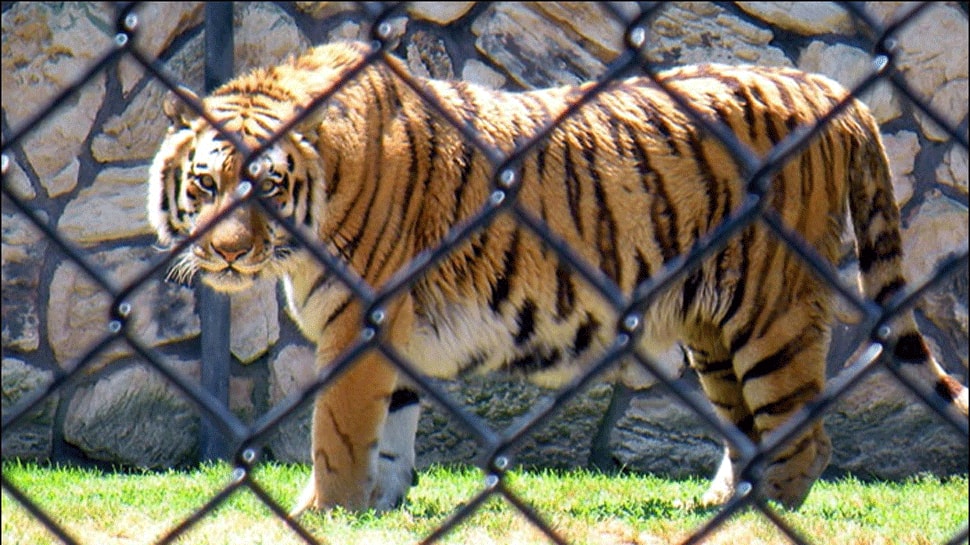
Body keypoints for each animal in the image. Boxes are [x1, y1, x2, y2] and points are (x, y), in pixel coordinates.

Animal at [146, 40, 968, 512]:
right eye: (206, 184)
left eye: (269, 187)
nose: (225, 253)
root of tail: (832, 91)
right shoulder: (392, 330)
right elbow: (391, 427)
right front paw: (380, 507)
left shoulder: (359, 321)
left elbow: (339, 433)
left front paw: (323, 512)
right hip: (714, 329)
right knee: (751, 431)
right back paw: (718, 506)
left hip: (771, 311)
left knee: (806, 440)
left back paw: (760, 522)